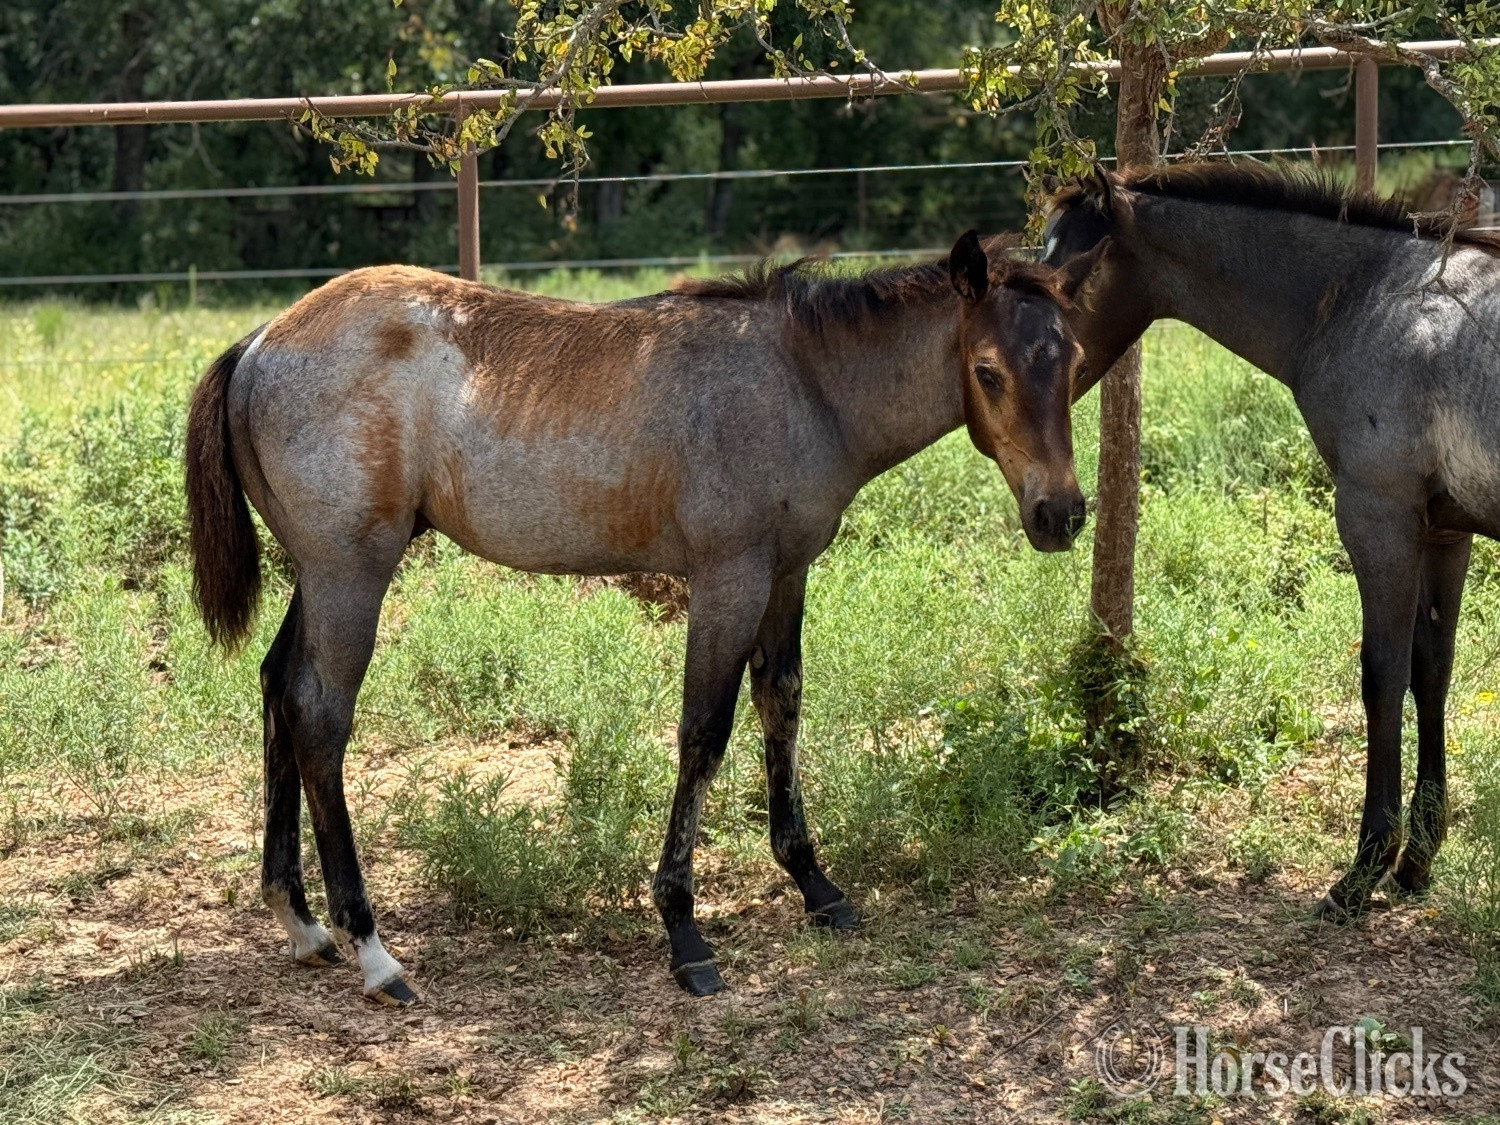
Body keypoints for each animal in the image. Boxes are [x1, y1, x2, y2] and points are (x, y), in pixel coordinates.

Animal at [184, 230, 1104, 1005]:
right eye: (987, 369)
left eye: (1073, 359)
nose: (1060, 513)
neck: (801, 382)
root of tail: (259, 343)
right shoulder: (728, 578)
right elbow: (705, 732)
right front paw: (683, 928)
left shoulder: (787, 573)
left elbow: (782, 705)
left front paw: (814, 883)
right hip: (352, 575)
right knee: (321, 718)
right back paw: (373, 949)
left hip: (320, 576)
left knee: (278, 687)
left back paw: (301, 921)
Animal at [1040, 161, 1500, 920]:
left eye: (1069, 277)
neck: (1368, 298)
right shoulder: (1444, 529)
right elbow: (1432, 669)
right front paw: (1416, 861)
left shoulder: (1377, 515)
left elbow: (1384, 675)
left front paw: (1362, 871)